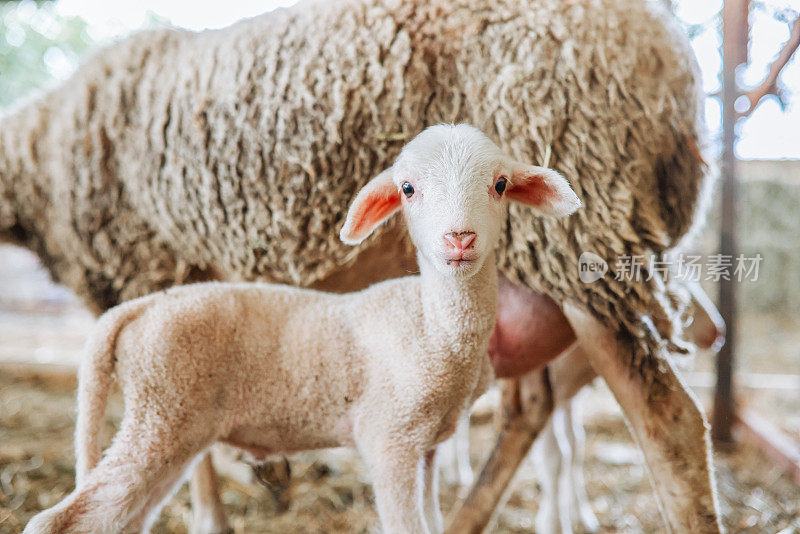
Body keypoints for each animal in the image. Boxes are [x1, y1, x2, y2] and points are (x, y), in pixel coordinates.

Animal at [20, 123, 580, 532]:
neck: (433, 325)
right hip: (160, 416)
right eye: (407, 188)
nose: (459, 239)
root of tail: (139, 308)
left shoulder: (428, 448)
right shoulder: (389, 438)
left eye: (500, 185)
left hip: (171, 427)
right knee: (54, 522)